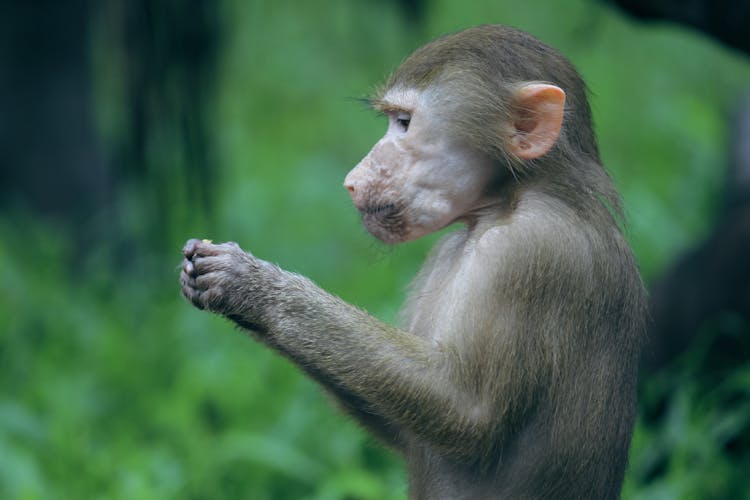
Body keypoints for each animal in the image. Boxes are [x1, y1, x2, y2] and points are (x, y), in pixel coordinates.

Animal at [181, 24, 648, 500]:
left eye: (405, 123)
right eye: (392, 120)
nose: (352, 180)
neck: (509, 202)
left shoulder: (529, 251)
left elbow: (468, 414)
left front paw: (253, 287)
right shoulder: (447, 250)